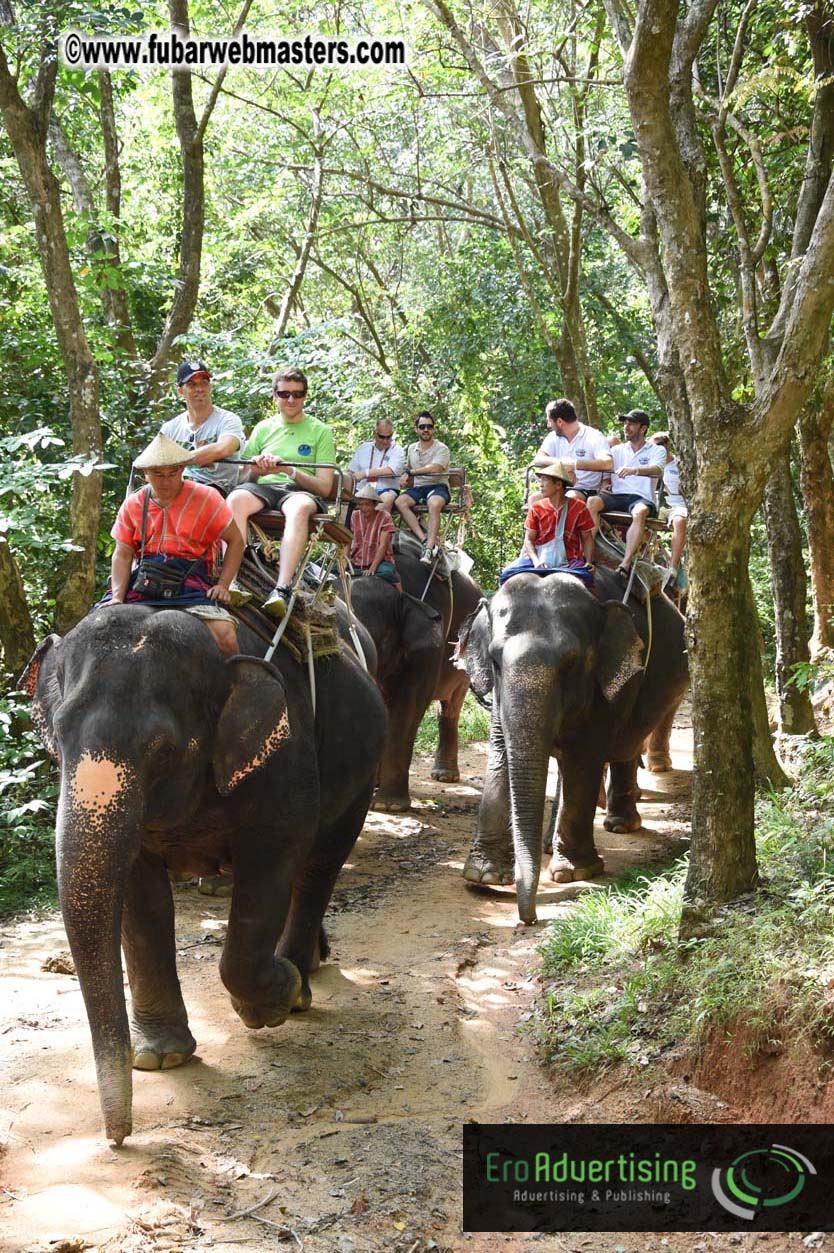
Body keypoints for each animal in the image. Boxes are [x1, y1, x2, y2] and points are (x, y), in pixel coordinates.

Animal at [22, 603, 386, 1144]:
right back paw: (312, 963)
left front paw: (274, 1001)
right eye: (58, 740)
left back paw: (300, 982)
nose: (119, 1139)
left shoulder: (287, 760)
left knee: (320, 863)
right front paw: (159, 1057)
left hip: (362, 773)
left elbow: (271, 864)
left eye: (164, 750)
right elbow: (140, 899)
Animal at [349, 539, 484, 810]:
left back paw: (444, 776)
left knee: (450, 706)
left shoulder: (430, 645)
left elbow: (409, 704)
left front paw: (388, 806)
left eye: (372, 637)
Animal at [456, 568, 688, 923]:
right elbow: (500, 756)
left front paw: (575, 873)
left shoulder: (603, 688)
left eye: (572, 663)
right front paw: (484, 876)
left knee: (626, 746)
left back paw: (619, 826)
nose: (529, 918)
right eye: (494, 660)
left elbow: (582, 760)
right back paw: (552, 845)